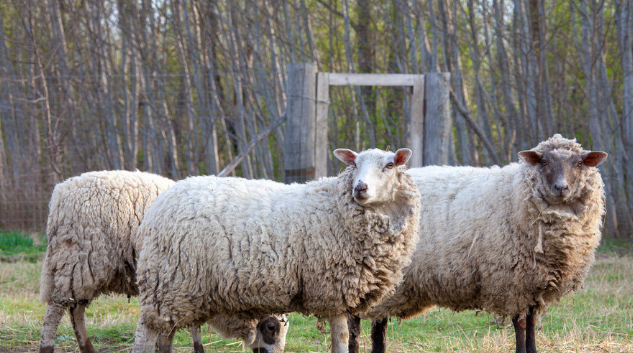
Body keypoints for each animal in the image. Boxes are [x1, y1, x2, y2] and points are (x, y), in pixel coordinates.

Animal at [38, 170, 286, 352]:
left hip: (84, 267)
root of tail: (61, 192)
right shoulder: (186, 278)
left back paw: (87, 348)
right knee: (56, 310)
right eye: (271, 327)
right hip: (78, 259)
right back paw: (47, 346)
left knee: (76, 308)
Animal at [131, 147, 422, 352]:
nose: (360, 187)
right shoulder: (331, 289)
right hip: (168, 282)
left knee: (166, 335)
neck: (336, 208)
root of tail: (158, 206)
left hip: (176, 291)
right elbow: (341, 337)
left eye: (389, 165)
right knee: (146, 335)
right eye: (355, 164)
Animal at [350, 133, 608, 352]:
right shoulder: (512, 283)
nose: (561, 188)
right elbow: (521, 327)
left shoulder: (533, 287)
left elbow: (532, 325)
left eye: (579, 163)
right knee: (360, 323)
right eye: (543, 162)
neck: (515, 194)